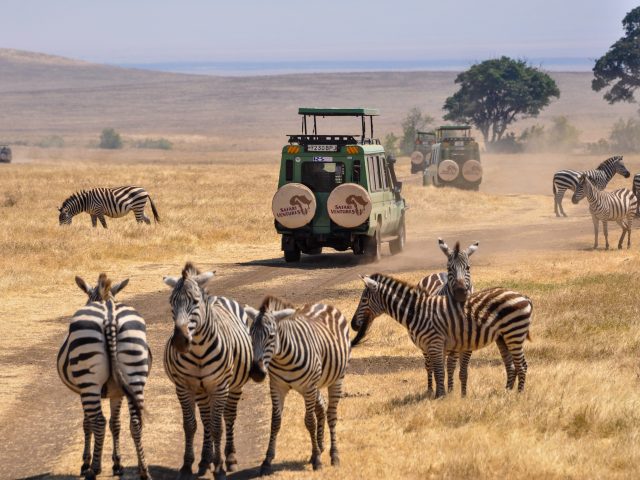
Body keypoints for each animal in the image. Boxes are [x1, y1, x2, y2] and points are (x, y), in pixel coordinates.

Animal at [57, 273, 151, 480]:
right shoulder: (118, 392)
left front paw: (86, 462)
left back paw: (94, 469)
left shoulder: (82, 391)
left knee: (98, 421)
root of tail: (110, 317)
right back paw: (144, 470)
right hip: (134, 372)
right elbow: (115, 424)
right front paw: (117, 464)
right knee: (135, 422)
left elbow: (87, 423)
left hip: (89, 380)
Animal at [162, 263, 252, 480]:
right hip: (202, 390)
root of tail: (218, 297)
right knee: (206, 419)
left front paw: (219, 467)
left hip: (233, 386)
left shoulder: (220, 386)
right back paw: (205, 460)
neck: (199, 351)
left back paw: (229, 458)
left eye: (195, 302)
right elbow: (190, 425)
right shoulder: (184, 387)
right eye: (171, 302)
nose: (180, 341)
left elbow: (218, 427)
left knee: (228, 416)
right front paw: (187, 466)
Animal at [245, 296, 350, 474]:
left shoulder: (308, 387)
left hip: (335, 380)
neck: (282, 358)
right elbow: (275, 422)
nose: (257, 373)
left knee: (331, 415)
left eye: (271, 336)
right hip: (315, 384)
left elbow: (309, 421)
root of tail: (324, 304)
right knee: (321, 407)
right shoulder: (277, 387)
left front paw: (317, 461)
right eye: (251, 335)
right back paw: (319, 447)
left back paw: (334, 455)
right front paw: (267, 461)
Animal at [351, 246, 533, 399]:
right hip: (503, 337)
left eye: (364, 299)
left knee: (522, 365)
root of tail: (523, 296)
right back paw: (507, 393)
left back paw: (519, 396)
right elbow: (437, 370)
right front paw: (440, 394)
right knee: (511, 365)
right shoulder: (432, 345)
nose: (353, 324)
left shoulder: (435, 342)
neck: (416, 311)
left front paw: (441, 397)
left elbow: (440, 371)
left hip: (514, 333)